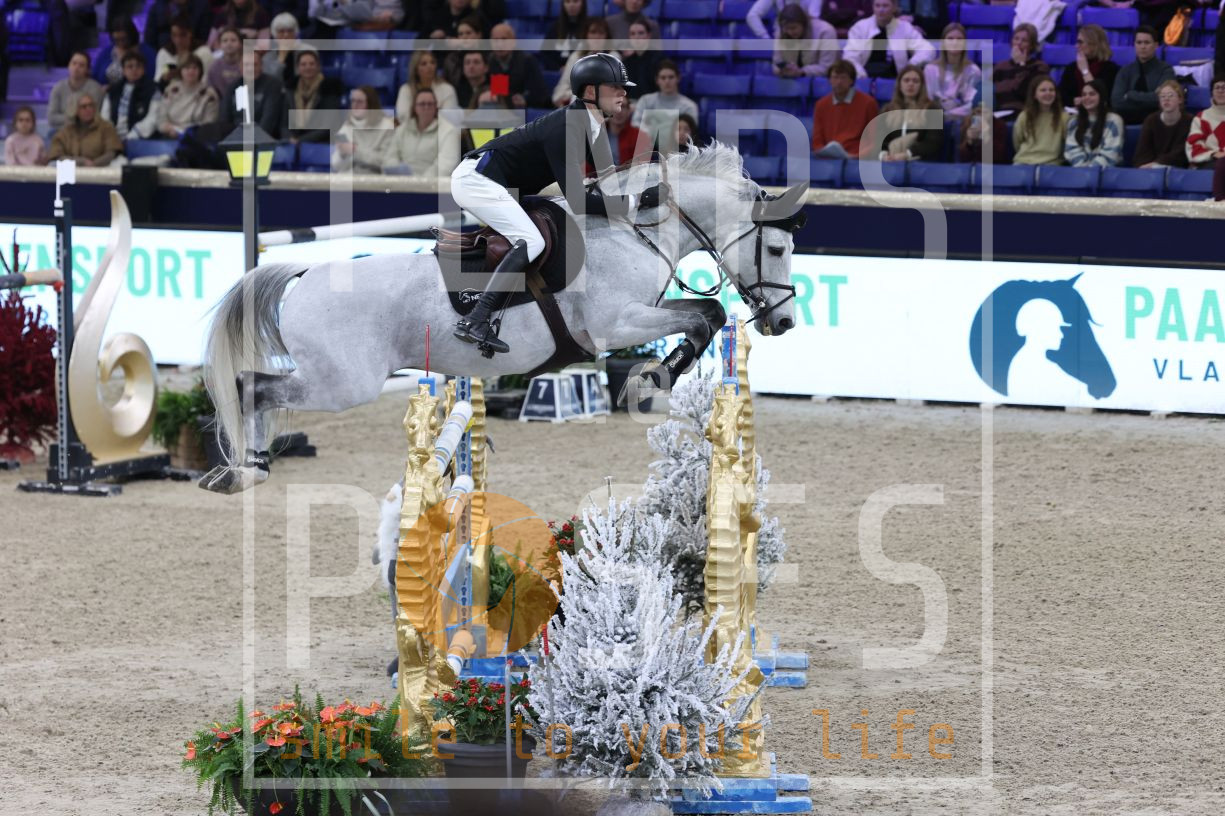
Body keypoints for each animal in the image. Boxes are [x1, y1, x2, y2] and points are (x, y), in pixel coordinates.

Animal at [198, 142, 807, 494]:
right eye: (776, 249)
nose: (783, 324)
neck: (636, 229)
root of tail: (303, 274)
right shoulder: (616, 325)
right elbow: (703, 318)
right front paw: (652, 377)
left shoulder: (639, 316)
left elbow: (706, 313)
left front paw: (658, 374)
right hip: (343, 383)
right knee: (252, 386)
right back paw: (248, 468)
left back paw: (246, 468)